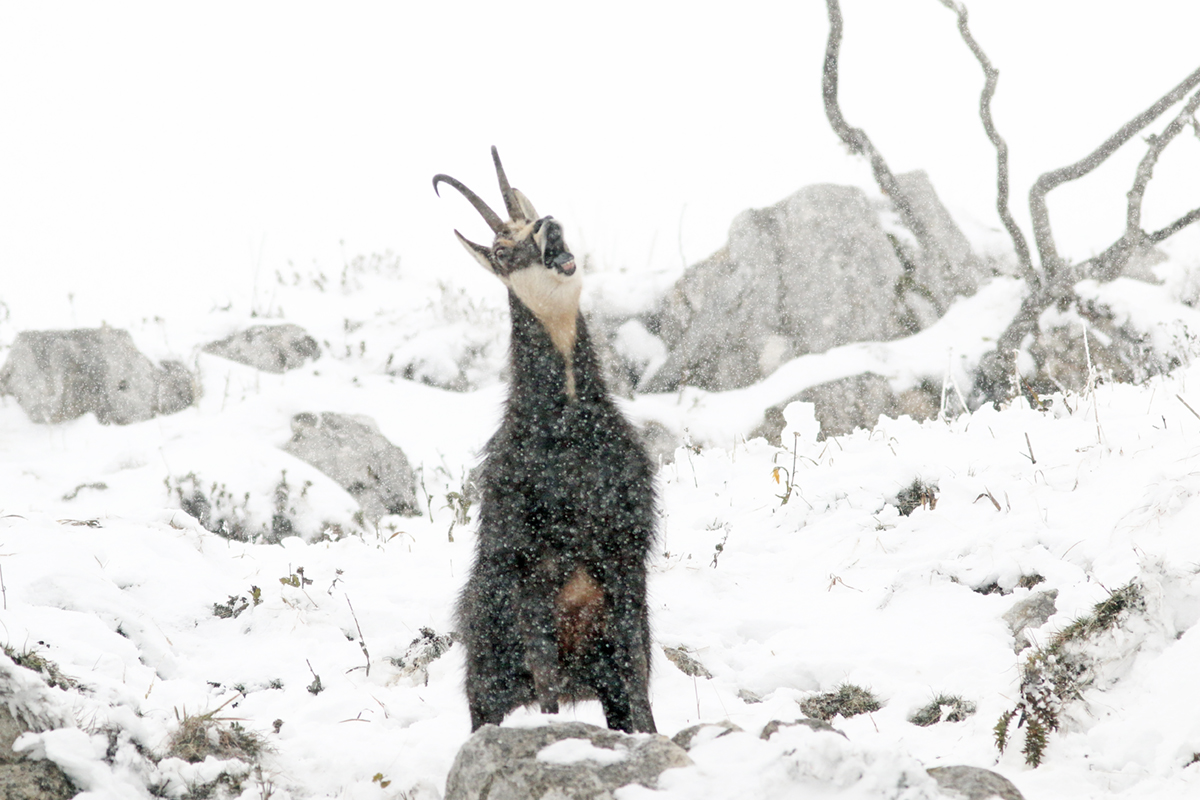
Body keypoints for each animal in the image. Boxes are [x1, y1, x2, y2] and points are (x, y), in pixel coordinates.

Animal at [434, 147, 657, 734]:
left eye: (531, 216)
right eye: (499, 249)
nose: (548, 227)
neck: (570, 428)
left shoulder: (627, 568)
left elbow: (640, 689)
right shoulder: (530, 578)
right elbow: (549, 691)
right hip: (488, 676)